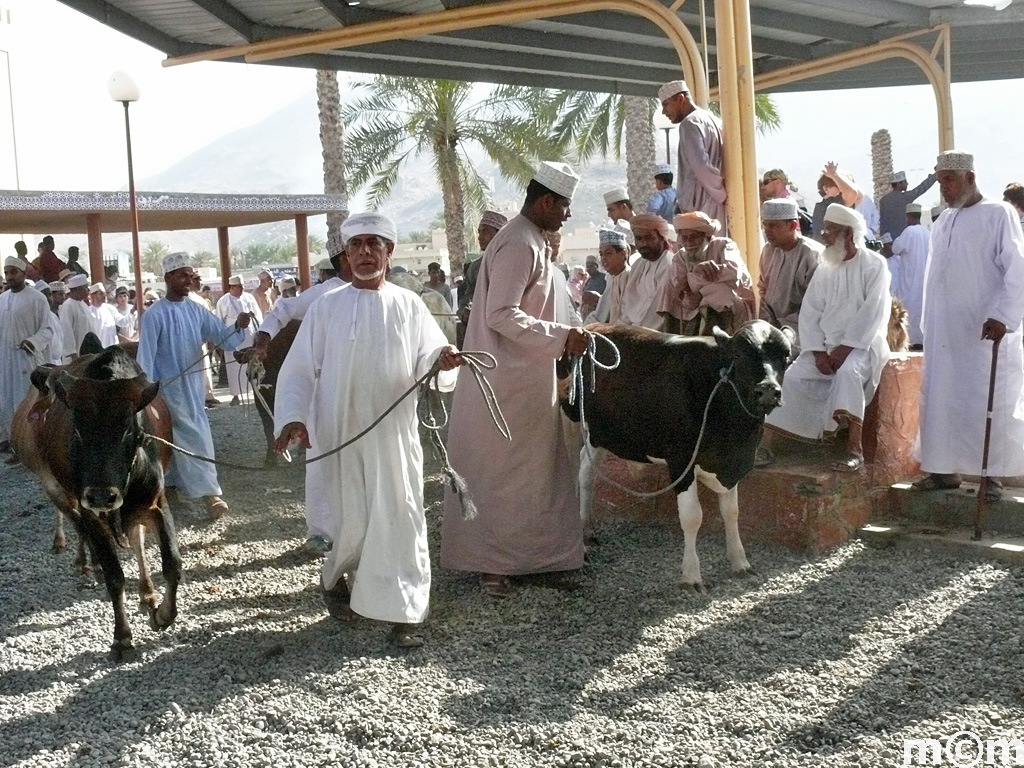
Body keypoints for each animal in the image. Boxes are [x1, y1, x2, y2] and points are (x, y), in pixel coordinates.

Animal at [561, 321, 790, 593]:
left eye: (786, 357)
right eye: (738, 354)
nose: (768, 390)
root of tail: (591, 326)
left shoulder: (731, 464)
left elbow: (731, 512)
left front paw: (740, 562)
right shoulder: (681, 460)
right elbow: (692, 517)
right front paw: (691, 576)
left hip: (599, 434)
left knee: (586, 471)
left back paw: (586, 528)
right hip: (570, 421)